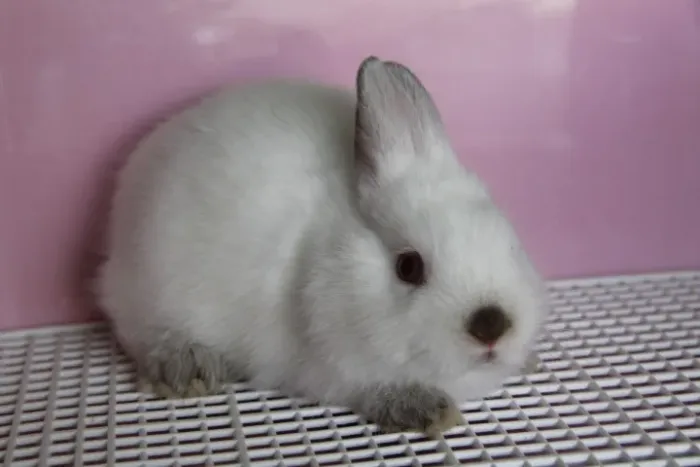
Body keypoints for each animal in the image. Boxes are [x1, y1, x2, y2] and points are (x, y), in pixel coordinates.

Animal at [96, 55, 549, 436]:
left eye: (510, 245)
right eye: (408, 267)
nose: (492, 324)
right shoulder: (330, 369)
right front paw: (425, 409)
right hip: (153, 286)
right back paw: (187, 367)